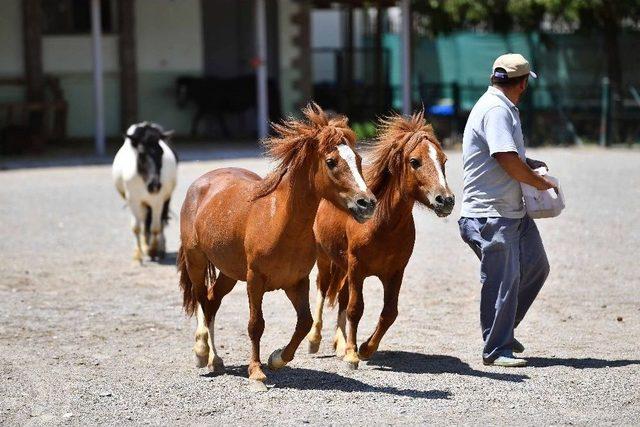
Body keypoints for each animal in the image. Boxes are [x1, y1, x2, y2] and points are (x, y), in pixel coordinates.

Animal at [112, 122, 178, 262]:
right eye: (141, 154)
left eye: (161, 153)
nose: (155, 185)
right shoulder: (133, 200)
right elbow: (137, 228)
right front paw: (138, 254)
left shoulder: (158, 201)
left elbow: (155, 227)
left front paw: (153, 250)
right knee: (143, 220)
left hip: (165, 200)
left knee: (160, 221)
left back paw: (159, 247)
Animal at [176, 103, 376, 388]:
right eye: (331, 162)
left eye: (358, 160)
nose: (367, 203)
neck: (280, 224)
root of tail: (201, 182)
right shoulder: (255, 280)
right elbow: (255, 324)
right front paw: (256, 371)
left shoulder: (296, 282)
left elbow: (304, 322)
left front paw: (277, 358)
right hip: (197, 261)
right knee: (202, 299)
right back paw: (202, 353)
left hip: (228, 272)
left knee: (212, 301)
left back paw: (216, 360)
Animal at [306, 112, 452, 370]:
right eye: (415, 161)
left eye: (443, 161)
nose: (445, 200)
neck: (383, 225)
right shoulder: (357, 269)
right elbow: (355, 309)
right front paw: (353, 355)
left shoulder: (394, 272)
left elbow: (389, 313)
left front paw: (364, 348)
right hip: (325, 260)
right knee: (322, 291)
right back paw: (315, 340)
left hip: (344, 268)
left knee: (341, 297)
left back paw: (340, 343)